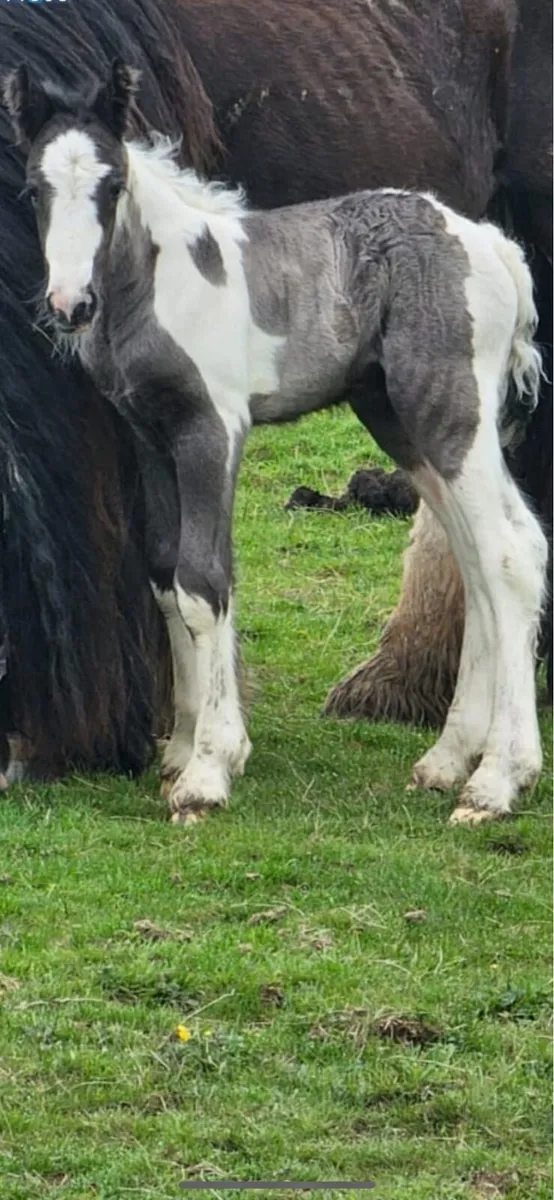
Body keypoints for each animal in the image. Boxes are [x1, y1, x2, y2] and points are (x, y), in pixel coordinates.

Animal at [0, 0, 549, 782]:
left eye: (113, 185)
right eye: (34, 190)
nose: (70, 304)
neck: (167, 276)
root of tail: (490, 245)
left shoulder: (212, 430)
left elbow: (206, 579)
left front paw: (209, 767)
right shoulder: (148, 436)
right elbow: (163, 572)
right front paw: (180, 745)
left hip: (453, 413)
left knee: (511, 550)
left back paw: (499, 777)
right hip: (402, 421)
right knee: (476, 557)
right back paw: (446, 755)